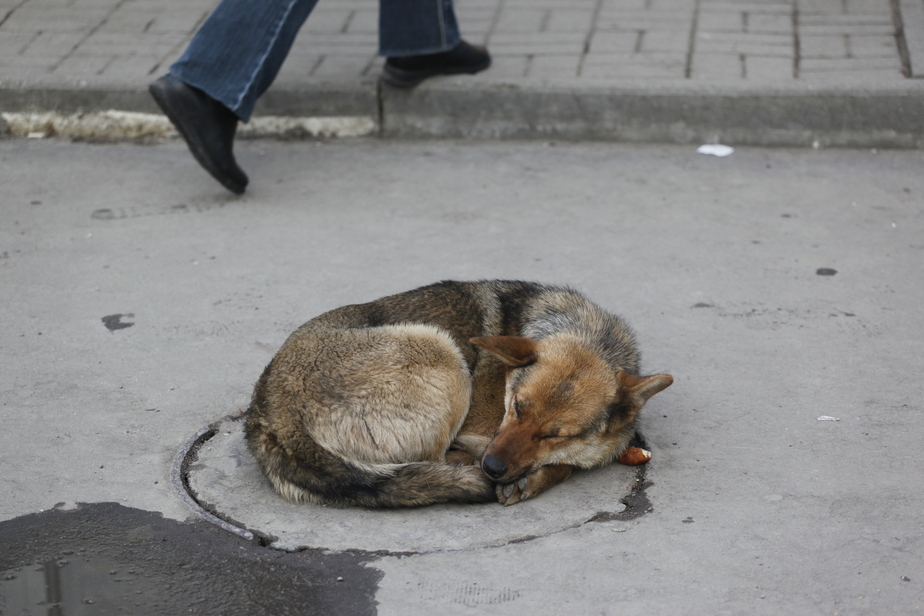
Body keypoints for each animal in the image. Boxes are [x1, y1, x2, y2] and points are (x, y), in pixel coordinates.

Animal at [244, 282, 672, 508]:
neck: (593, 333)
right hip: (439, 349)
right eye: (516, 407)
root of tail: (274, 417)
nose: (493, 468)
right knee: (435, 461)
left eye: (554, 434)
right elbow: (566, 465)